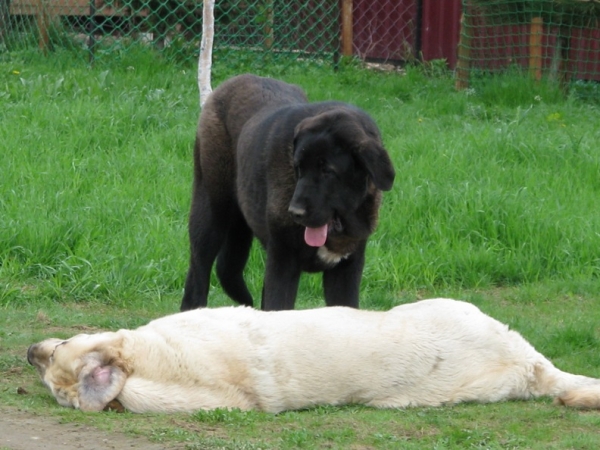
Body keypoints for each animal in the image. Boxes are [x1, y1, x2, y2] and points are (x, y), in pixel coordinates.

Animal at [184, 74, 398, 312]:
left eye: (328, 171)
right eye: (298, 168)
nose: (295, 212)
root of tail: (230, 83)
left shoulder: (346, 269)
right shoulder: (282, 262)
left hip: (240, 224)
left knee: (228, 266)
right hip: (211, 215)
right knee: (198, 275)